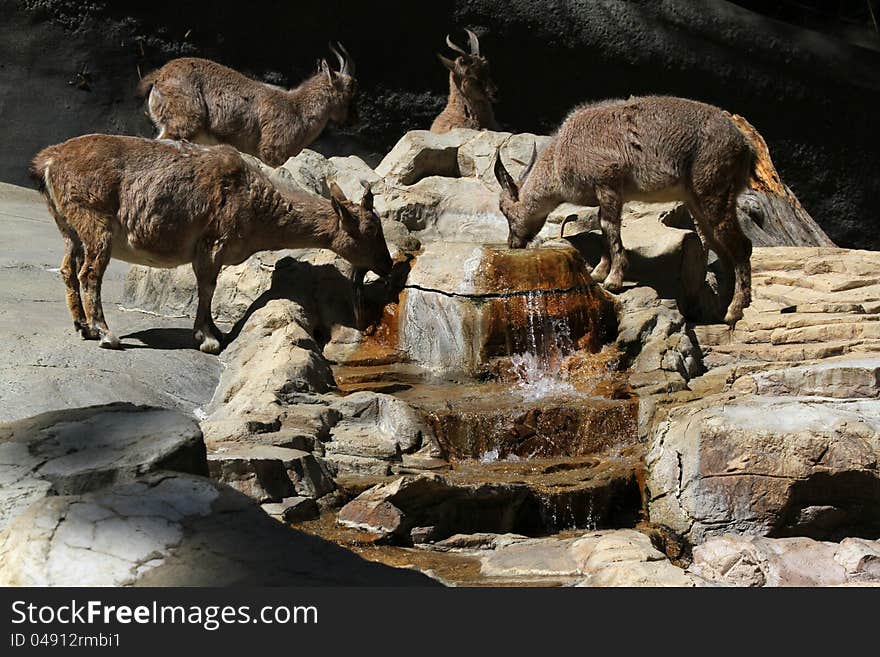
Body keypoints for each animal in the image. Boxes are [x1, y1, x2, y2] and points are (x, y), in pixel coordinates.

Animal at [30, 133, 392, 354]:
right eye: (372, 229)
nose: (387, 266)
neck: (256, 204)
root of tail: (48, 163)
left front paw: (216, 331)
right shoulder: (212, 245)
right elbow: (207, 288)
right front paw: (207, 338)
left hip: (69, 228)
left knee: (67, 270)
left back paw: (83, 327)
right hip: (94, 222)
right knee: (89, 274)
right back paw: (106, 334)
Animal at [138, 43, 358, 167]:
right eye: (349, 92)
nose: (353, 120)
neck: (298, 109)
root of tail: (159, 76)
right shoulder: (272, 151)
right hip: (185, 121)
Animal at [496, 95, 756, 322]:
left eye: (505, 210)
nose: (512, 243)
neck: (562, 155)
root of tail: (745, 146)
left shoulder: (608, 182)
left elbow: (610, 227)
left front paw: (613, 280)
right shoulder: (605, 194)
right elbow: (604, 228)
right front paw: (598, 273)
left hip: (714, 189)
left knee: (742, 246)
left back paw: (734, 311)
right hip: (697, 201)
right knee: (722, 249)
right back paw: (720, 310)